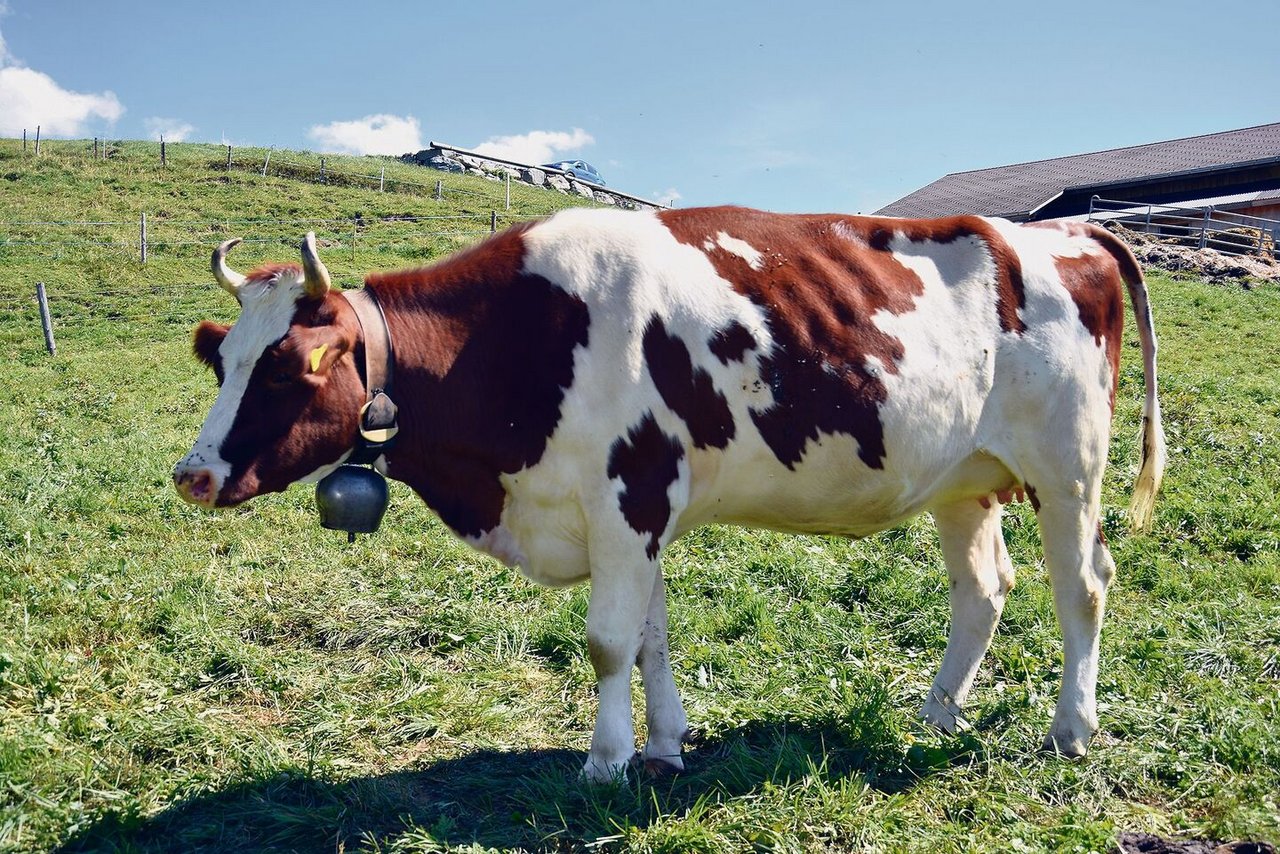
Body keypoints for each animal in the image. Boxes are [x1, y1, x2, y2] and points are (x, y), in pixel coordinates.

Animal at [175, 204, 1167, 783]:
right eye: (224, 362)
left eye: (289, 368)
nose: (194, 474)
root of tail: (1065, 234)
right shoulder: (637, 514)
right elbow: (651, 637)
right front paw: (663, 744)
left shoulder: (629, 495)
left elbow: (610, 642)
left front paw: (605, 762)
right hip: (967, 478)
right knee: (984, 588)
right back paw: (938, 712)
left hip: (1070, 468)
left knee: (1084, 587)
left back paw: (1071, 729)